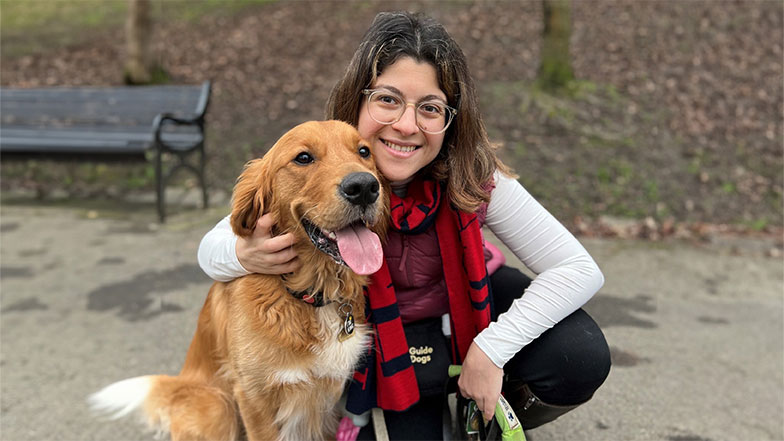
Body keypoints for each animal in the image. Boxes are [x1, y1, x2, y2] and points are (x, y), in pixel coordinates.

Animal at [89, 120, 386, 440]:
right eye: (304, 158)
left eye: (364, 151)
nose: (364, 187)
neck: (309, 295)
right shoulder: (253, 398)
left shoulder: (328, 397)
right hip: (218, 407)